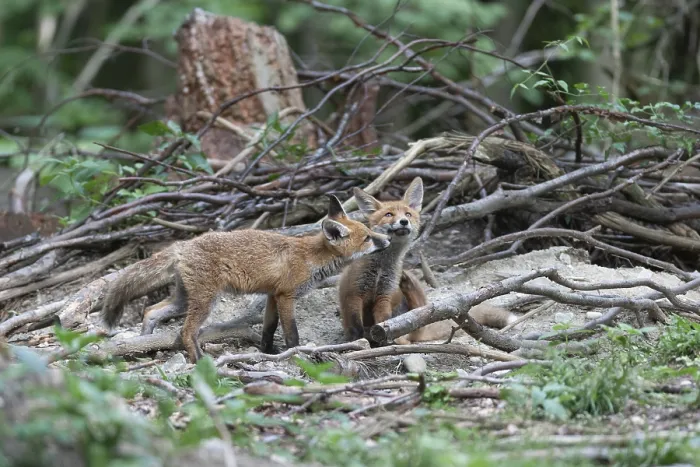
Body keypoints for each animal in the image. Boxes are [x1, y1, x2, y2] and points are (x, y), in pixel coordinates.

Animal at [100, 195, 391, 362]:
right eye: (368, 238)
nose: (388, 239)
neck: (311, 257)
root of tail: (183, 245)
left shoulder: (272, 295)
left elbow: (268, 328)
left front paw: (267, 352)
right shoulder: (286, 296)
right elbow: (292, 333)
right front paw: (294, 354)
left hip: (184, 299)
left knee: (150, 310)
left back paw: (143, 343)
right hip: (205, 301)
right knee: (186, 331)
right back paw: (197, 360)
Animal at [338, 177, 516, 345]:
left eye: (408, 214)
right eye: (389, 215)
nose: (404, 222)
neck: (381, 268)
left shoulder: (384, 296)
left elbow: (385, 322)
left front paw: (385, 339)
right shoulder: (354, 293)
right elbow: (355, 326)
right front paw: (355, 341)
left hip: (415, 304)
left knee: (416, 323)